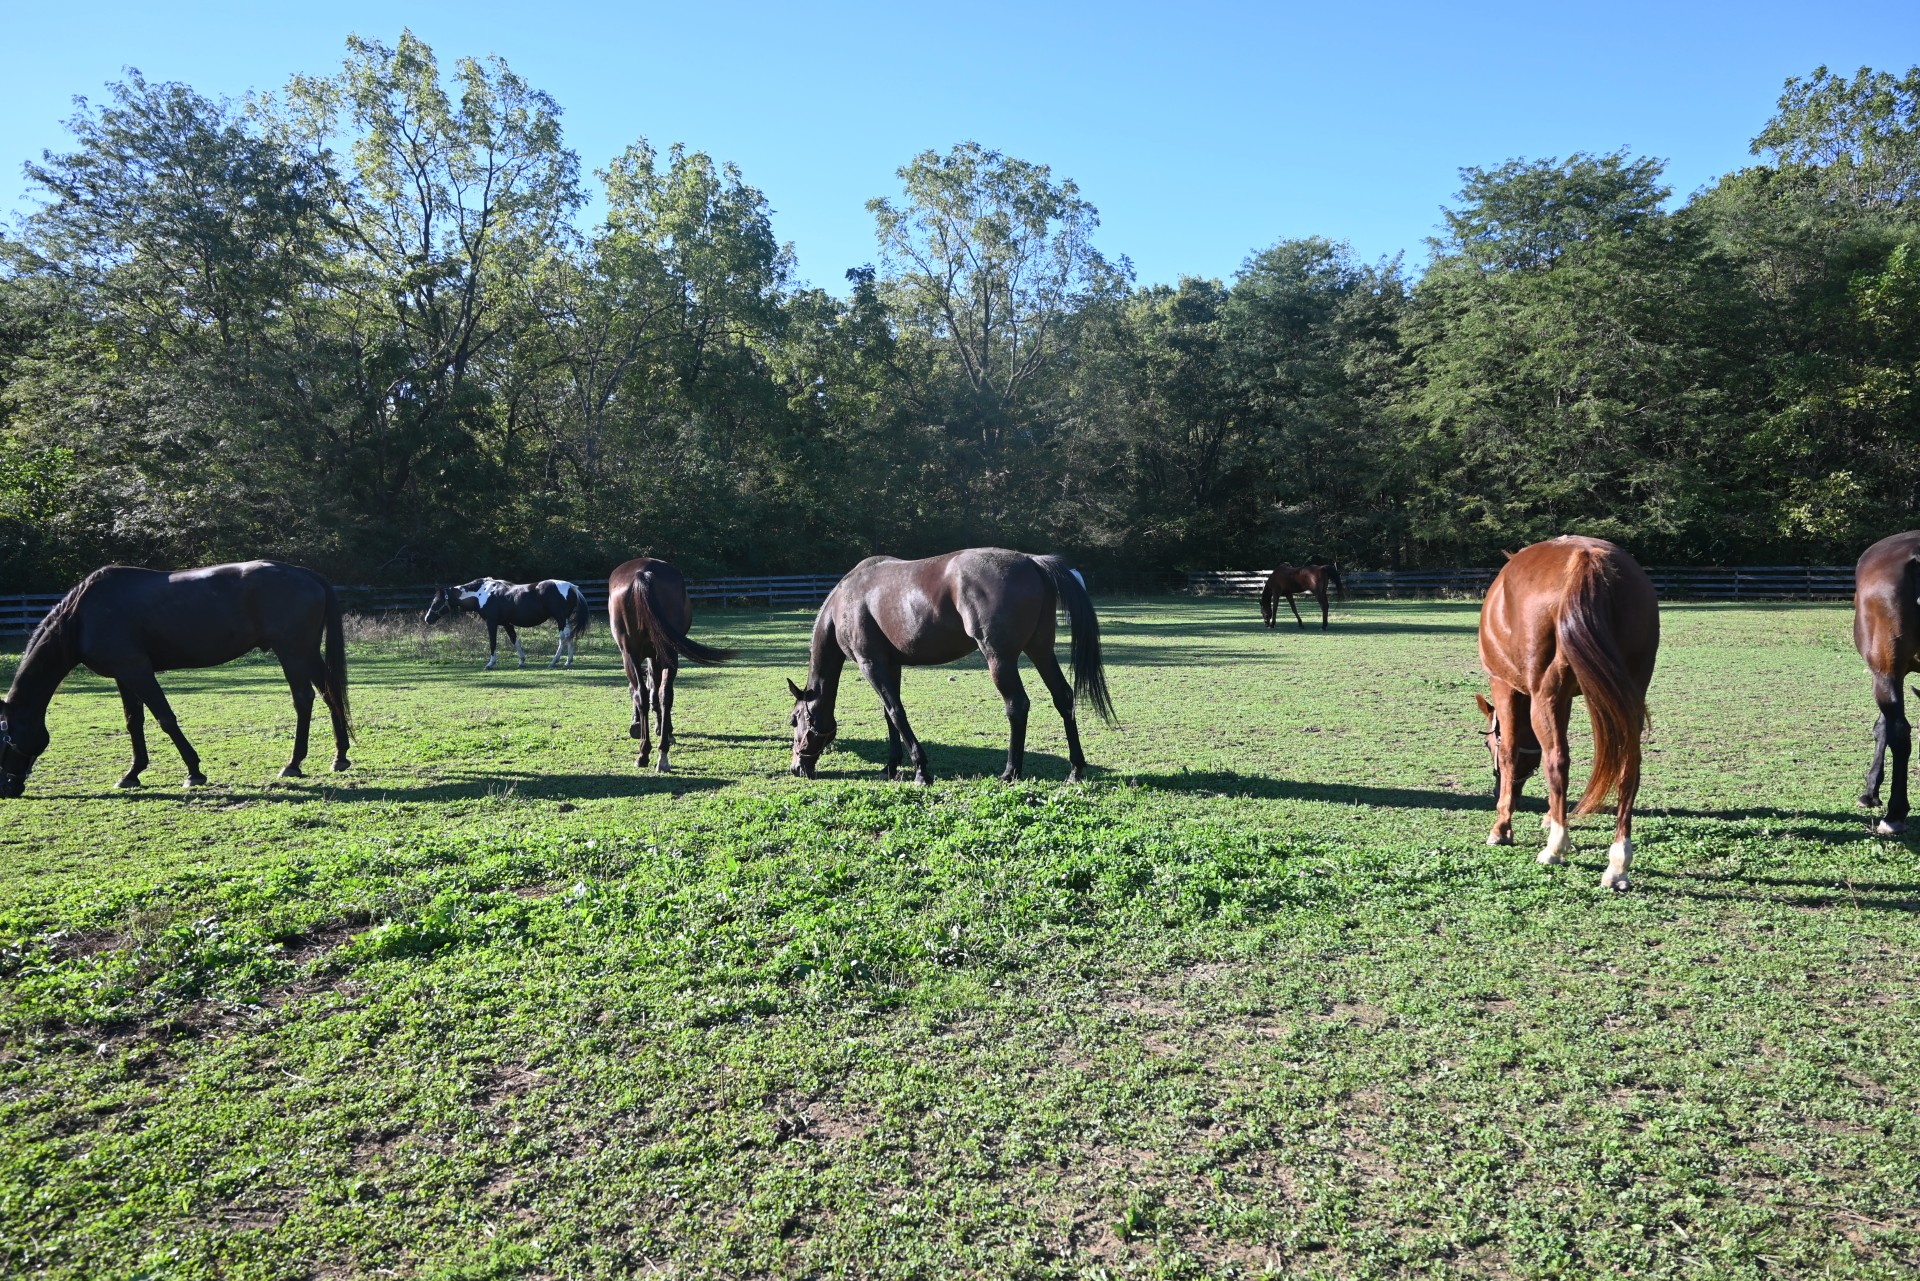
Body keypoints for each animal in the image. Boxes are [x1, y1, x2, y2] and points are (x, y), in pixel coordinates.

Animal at [0, 561, 351, 797]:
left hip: (292, 652)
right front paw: (132, 773)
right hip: (307, 653)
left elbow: (165, 719)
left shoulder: (137, 670)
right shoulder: (123, 676)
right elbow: (134, 722)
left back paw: (294, 763)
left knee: (304, 700)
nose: (8, 789)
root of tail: (307, 575)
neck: (82, 616)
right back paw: (340, 757)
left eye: (4, 739)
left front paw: (194, 771)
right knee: (330, 693)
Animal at [424, 577, 589, 669]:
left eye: (437, 601)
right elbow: (514, 640)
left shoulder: (492, 623)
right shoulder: (506, 623)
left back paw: (554, 662)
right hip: (564, 619)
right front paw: (522, 661)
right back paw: (568, 661)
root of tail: (571, 587)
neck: (482, 594)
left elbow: (492, 642)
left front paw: (490, 664)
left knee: (563, 637)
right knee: (569, 636)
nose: (427, 619)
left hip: (560, 618)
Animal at [607, 558, 736, 772]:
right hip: (667, 652)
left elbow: (645, 689)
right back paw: (661, 754)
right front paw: (662, 729)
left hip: (633, 654)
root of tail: (643, 573)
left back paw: (647, 752)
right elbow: (655, 691)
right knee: (664, 694)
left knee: (645, 693)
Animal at [787, 548, 1115, 785]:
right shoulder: (890, 666)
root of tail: (1031, 561)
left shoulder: (871, 665)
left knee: (1017, 705)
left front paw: (921, 770)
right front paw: (891, 767)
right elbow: (889, 717)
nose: (796, 767)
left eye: (794, 720)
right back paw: (1075, 770)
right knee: (1063, 697)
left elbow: (897, 713)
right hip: (1041, 651)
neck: (844, 602)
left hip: (1000, 659)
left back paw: (1010, 772)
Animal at [1474, 536, 1658, 890]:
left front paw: (1501, 827)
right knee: (1628, 767)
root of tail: (1587, 561)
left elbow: (1513, 752)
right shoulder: (1567, 697)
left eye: (1489, 744)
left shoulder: (1506, 686)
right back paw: (1618, 862)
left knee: (1557, 758)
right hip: (1629, 691)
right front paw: (1549, 815)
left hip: (1545, 692)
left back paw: (1555, 849)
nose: (1494, 791)